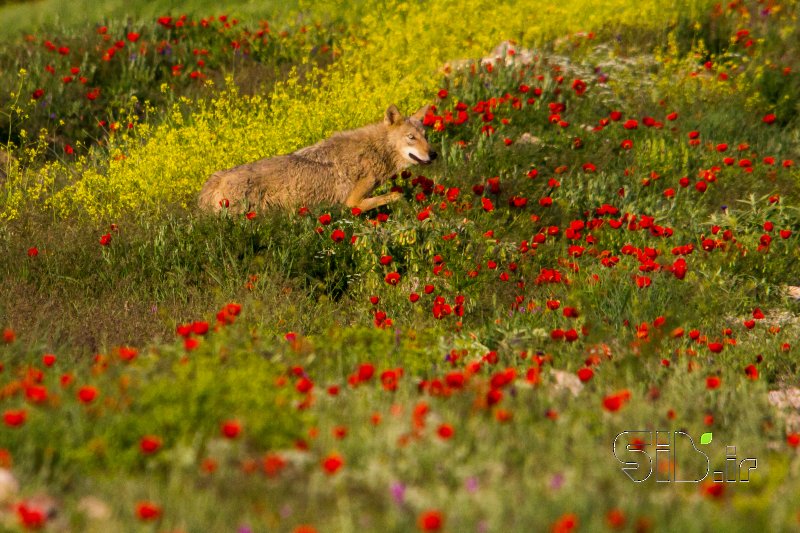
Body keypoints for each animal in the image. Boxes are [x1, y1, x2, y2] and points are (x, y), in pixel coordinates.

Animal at [200, 104, 438, 212]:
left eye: (426, 136)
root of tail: (216, 179)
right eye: (411, 137)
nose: (433, 154)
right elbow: (396, 195)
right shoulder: (351, 202)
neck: (374, 150)